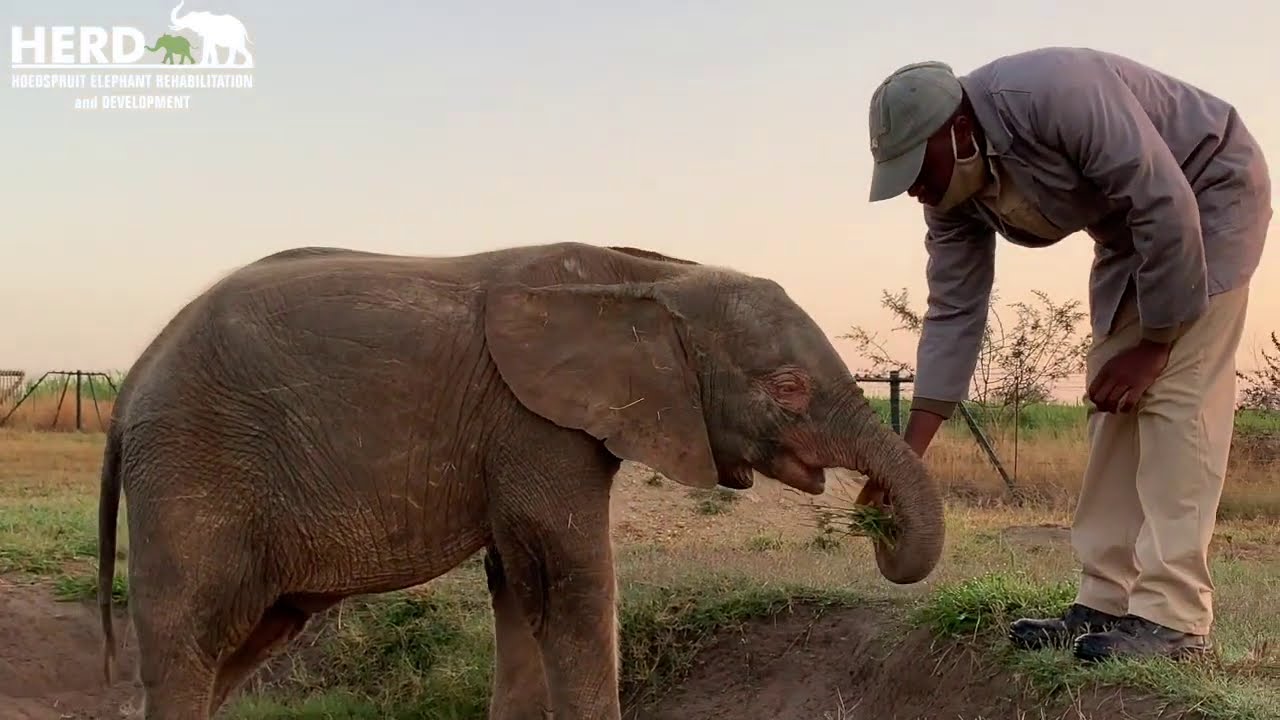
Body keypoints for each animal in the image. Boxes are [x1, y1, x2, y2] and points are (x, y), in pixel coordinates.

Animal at [96, 241, 945, 719]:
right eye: (787, 388)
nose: (874, 516)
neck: (645, 278)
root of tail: (132, 379)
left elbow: (519, 583)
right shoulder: (531, 422)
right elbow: (569, 580)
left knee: (241, 640)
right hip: (192, 467)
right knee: (188, 637)